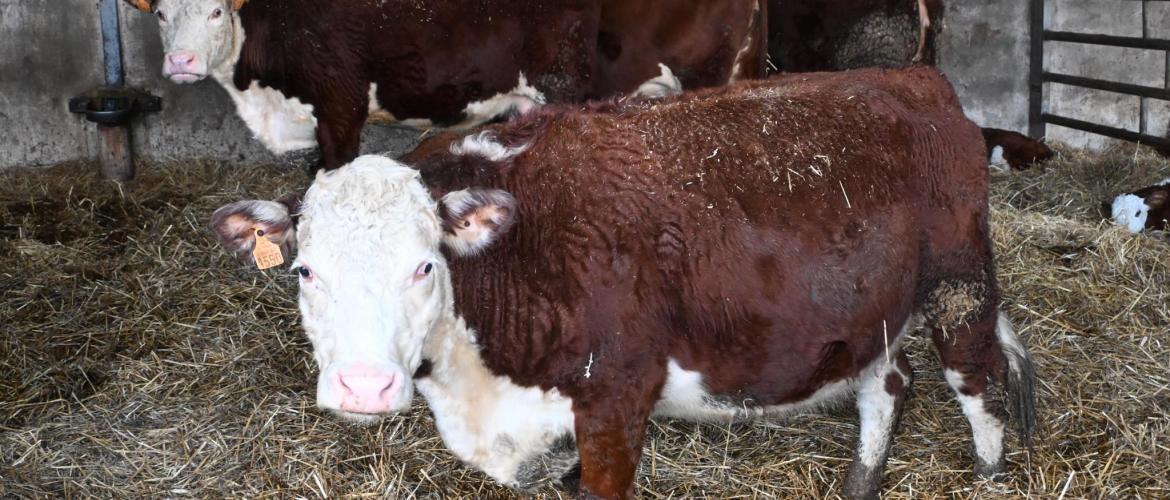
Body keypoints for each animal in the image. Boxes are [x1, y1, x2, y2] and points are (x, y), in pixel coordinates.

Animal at [210, 66, 1036, 499]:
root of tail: (915, 77)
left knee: (977, 385)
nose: (363, 387)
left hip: (960, 287)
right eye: (307, 269)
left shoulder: (615, 398)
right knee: (887, 387)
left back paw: (989, 471)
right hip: (869, 316)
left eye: (425, 264)